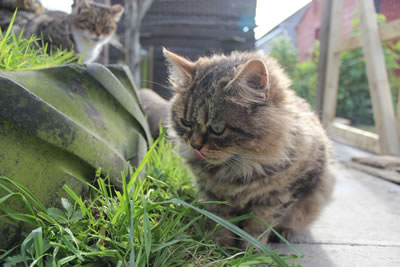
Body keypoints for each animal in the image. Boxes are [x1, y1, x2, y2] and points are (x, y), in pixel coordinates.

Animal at [162, 48, 334, 249]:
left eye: (217, 129)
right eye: (186, 123)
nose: (195, 146)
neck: (239, 169)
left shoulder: (280, 195)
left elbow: (258, 227)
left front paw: (251, 250)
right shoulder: (213, 193)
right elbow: (221, 222)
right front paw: (219, 247)